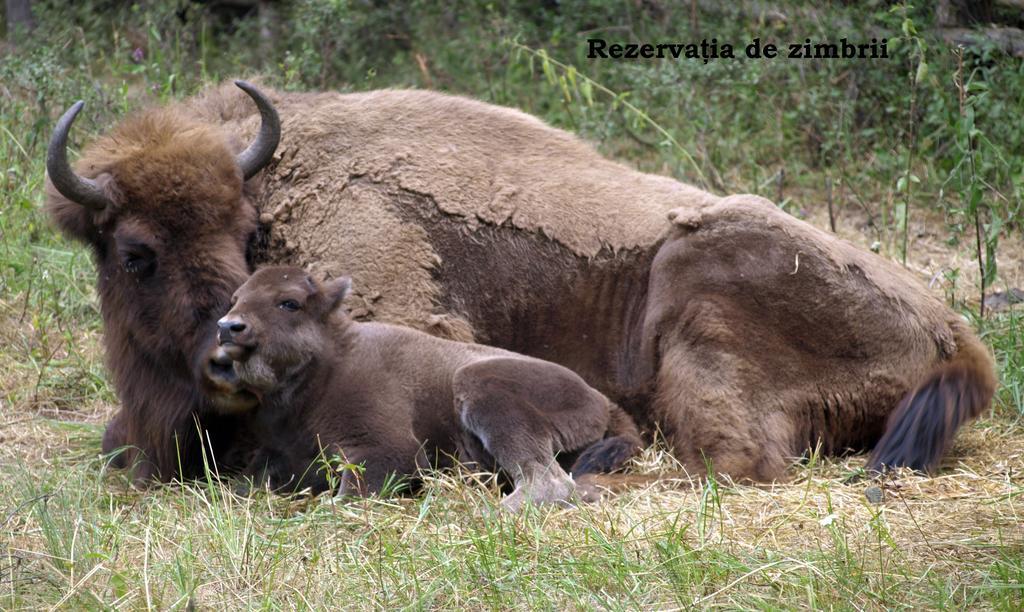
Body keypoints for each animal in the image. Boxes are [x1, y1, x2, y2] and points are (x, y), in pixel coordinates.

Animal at [44, 80, 995, 485]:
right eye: (134, 252)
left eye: (247, 236)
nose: (220, 352)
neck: (283, 178)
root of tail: (953, 332)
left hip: (695, 284)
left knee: (729, 460)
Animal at [210, 266, 638, 511]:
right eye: (235, 298)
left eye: (290, 303)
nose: (229, 326)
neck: (329, 363)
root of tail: (600, 400)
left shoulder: (389, 451)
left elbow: (347, 496)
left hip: (480, 387)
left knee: (548, 482)